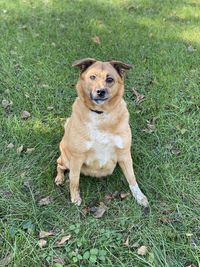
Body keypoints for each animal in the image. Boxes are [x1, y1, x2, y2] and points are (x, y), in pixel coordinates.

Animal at [54, 58, 148, 208]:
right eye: (92, 77)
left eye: (110, 79)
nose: (100, 91)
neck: (101, 115)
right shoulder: (77, 158)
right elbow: (74, 180)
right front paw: (75, 197)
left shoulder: (124, 154)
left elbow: (132, 179)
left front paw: (139, 196)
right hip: (66, 159)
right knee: (59, 165)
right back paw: (59, 178)